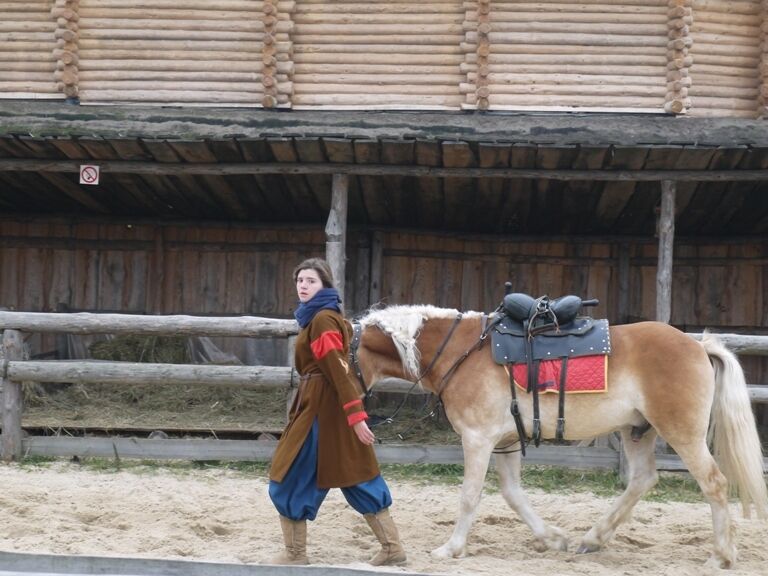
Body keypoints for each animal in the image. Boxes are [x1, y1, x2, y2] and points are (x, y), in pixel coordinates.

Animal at [352, 304, 768, 568]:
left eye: (343, 356)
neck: (461, 352)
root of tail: (697, 344)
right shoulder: (505, 441)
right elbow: (513, 494)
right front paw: (553, 539)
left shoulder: (478, 439)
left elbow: (470, 496)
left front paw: (452, 548)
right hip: (637, 431)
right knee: (642, 480)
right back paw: (593, 538)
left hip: (681, 434)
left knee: (714, 484)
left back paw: (721, 554)